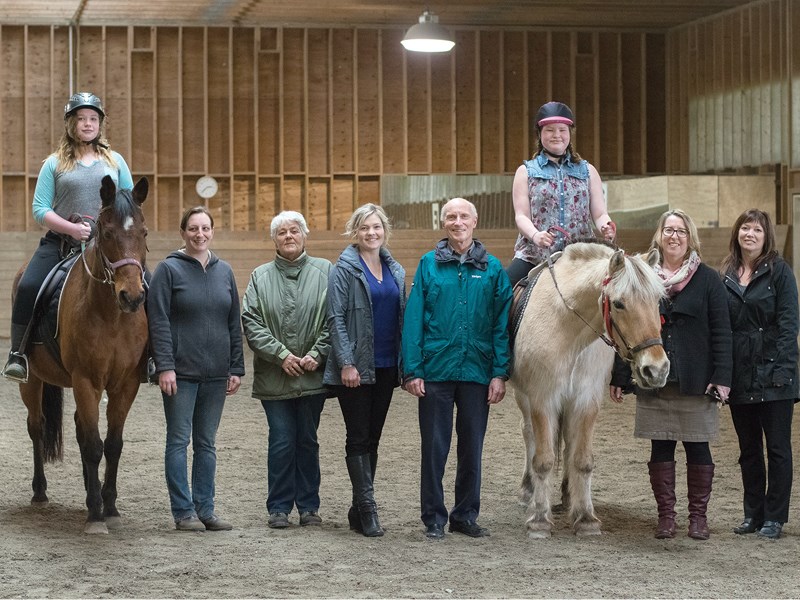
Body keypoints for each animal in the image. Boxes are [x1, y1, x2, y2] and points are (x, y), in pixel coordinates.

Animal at [16, 175, 149, 536]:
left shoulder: (126, 384)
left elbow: (112, 445)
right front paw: (96, 517)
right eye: (107, 233)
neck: (111, 315)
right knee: (36, 426)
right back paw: (40, 492)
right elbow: (93, 445)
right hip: (31, 381)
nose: (132, 296)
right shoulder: (86, 381)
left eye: (144, 233)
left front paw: (109, 507)